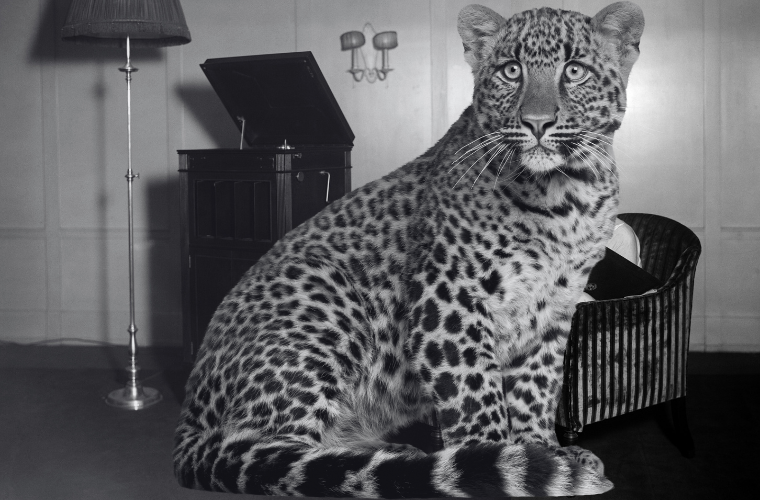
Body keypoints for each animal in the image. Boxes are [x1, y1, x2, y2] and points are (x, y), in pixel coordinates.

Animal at [174, 2, 644, 497]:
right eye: (511, 70)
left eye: (574, 70)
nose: (537, 123)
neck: (567, 194)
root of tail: (188, 417)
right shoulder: (449, 300)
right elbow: (476, 393)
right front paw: (500, 459)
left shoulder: (554, 309)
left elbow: (537, 389)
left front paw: (544, 452)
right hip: (325, 293)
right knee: (266, 453)